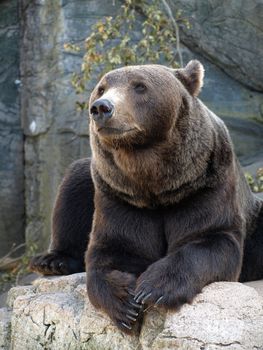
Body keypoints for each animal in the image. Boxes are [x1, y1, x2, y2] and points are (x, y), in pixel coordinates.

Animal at [31, 60, 263, 334]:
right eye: (101, 88)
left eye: (140, 86)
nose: (101, 107)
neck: (155, 184)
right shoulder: (120, 196)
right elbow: (116, 249)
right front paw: (125, 303)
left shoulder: (205, 185)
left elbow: (210, 237)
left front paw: (156, 288)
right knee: (74, 183)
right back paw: (52, 261)